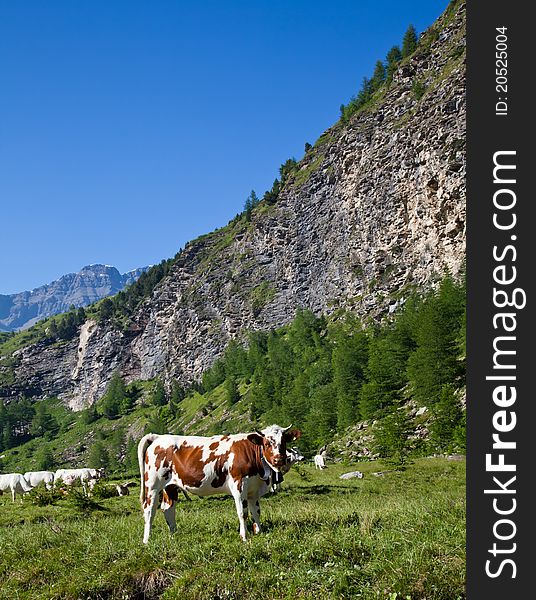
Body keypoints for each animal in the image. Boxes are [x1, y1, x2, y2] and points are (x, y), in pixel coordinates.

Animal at [138, 422, 302, 544]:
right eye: (267, 443)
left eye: (284, 442)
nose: (279, 459)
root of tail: (158, 437)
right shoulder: (239, 485)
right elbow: (243, 513)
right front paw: (244, 536)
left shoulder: (254, 489)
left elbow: (256, 511)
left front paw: (259, 532)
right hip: (153, 485)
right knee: (149, 509)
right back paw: (147, 539)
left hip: (170, 486)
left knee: (168, 508)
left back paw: (173, 535)